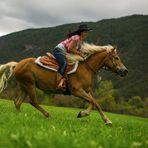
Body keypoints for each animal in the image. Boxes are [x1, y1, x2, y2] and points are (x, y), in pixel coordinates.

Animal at [0, 42, 128, 125]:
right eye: (116, 58)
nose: (125, 70)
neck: (86, 68)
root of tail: (17, 64)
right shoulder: (77, 91)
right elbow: (92, 102)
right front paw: (83, 113)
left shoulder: (86, 91)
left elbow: (95, 103)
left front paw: (106, 120)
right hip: (30, 84)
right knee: (32, 101)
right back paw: (47, 114)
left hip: (24, 87)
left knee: (17, 102)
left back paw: (20, 116)